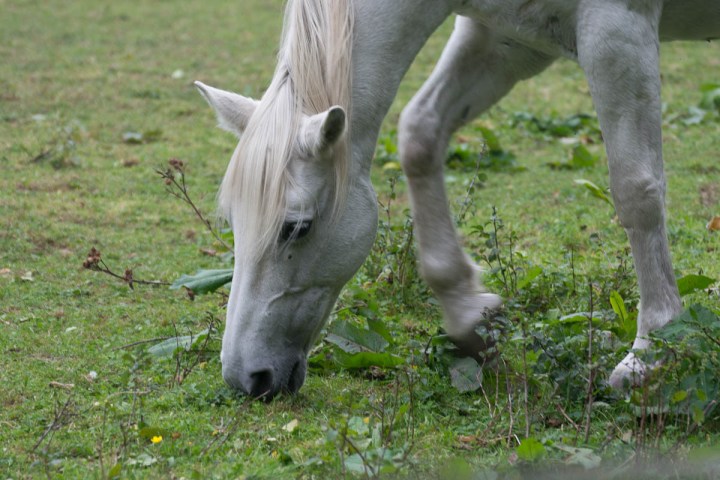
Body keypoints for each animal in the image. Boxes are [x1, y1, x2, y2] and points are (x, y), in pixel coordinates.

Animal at [195, 0, 720, 399]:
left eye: (296, 227)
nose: (246, 378)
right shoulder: (505, 40)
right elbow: (419, 133)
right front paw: (470, 317)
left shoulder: (617, 31)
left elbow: (636, 189)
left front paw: (650, 352)